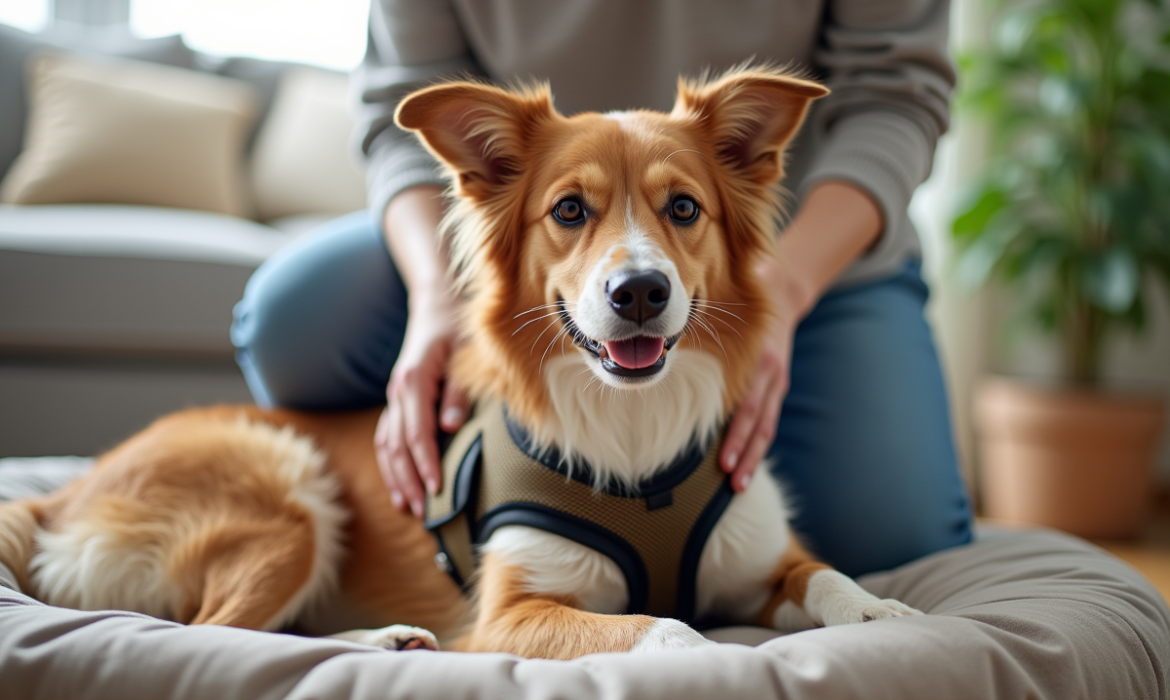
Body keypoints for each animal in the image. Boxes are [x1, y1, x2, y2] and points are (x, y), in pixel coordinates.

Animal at [0, 64, 917, 660]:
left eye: (684, 208)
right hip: (286, 494)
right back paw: (381, 639)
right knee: (215, 633)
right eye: (569, 211)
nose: (640, 292)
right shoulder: (507, 616)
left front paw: (879, 613)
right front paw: (712, 652)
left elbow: (826, 575)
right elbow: (669, 629)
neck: (634, 432)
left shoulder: (762, 559)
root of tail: (60, 494)